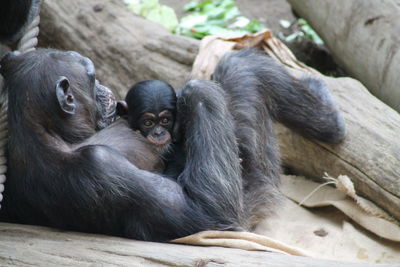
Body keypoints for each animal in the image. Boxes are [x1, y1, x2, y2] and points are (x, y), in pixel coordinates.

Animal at [0, 47, 344, 242]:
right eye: (93, 77)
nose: (105, 88)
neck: (48, 132)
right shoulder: (101, 165)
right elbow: (207, 213)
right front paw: (191, 90)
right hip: (256, 191)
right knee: (239, 68)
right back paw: (329, 115)